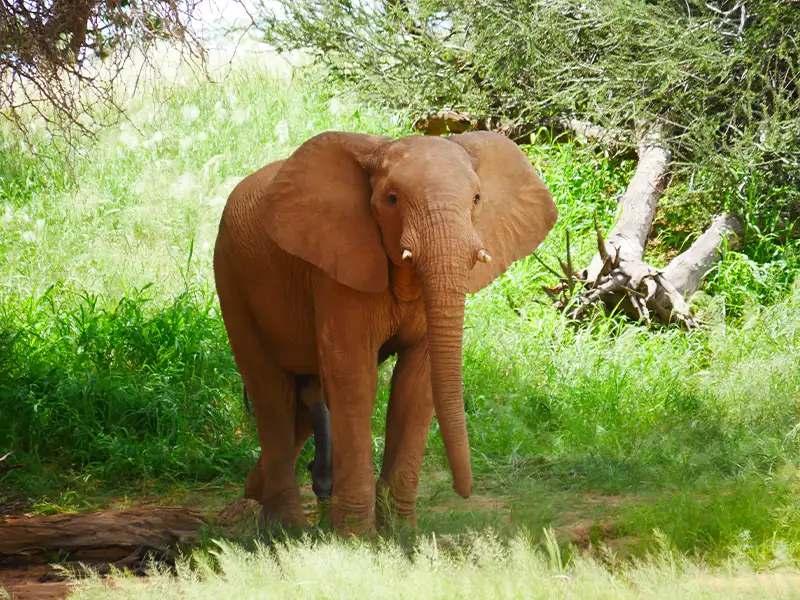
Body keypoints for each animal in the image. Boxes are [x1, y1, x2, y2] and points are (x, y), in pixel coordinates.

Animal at [213, 130, 557, 534]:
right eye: (391, 199)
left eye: (476, 199)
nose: (464, 491)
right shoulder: (338, 263)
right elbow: (354, 378)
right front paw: (356, 539)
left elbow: (416, 383)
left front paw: (403, 536)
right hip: (230, 276)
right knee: (272, 393)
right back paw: (287, 528)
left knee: (305, 395)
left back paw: (259, 494)